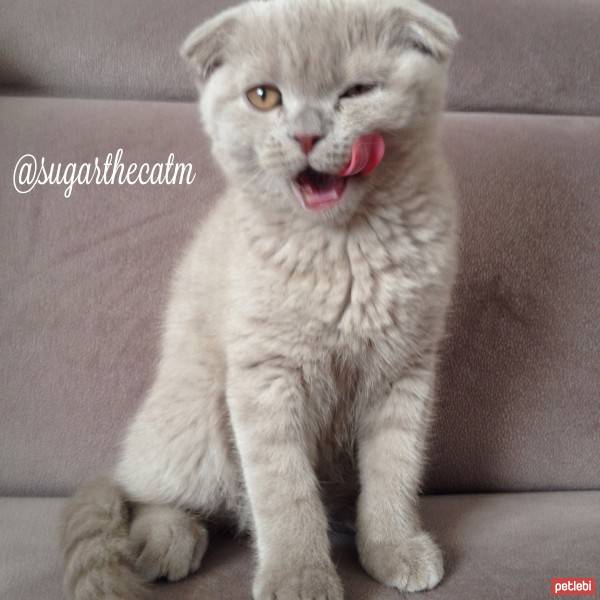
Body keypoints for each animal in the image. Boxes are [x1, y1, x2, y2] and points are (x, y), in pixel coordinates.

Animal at [61, 1, 460, 600]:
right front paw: (299, 575)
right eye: (264, 96)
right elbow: (282, 490)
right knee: (150, 494)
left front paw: (392, 546)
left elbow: (395, 466)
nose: (306, 134)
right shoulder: (265, 374)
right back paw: (167, 542)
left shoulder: (404, 369)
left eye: (359, 91)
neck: (343, 247)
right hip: (195, 416)